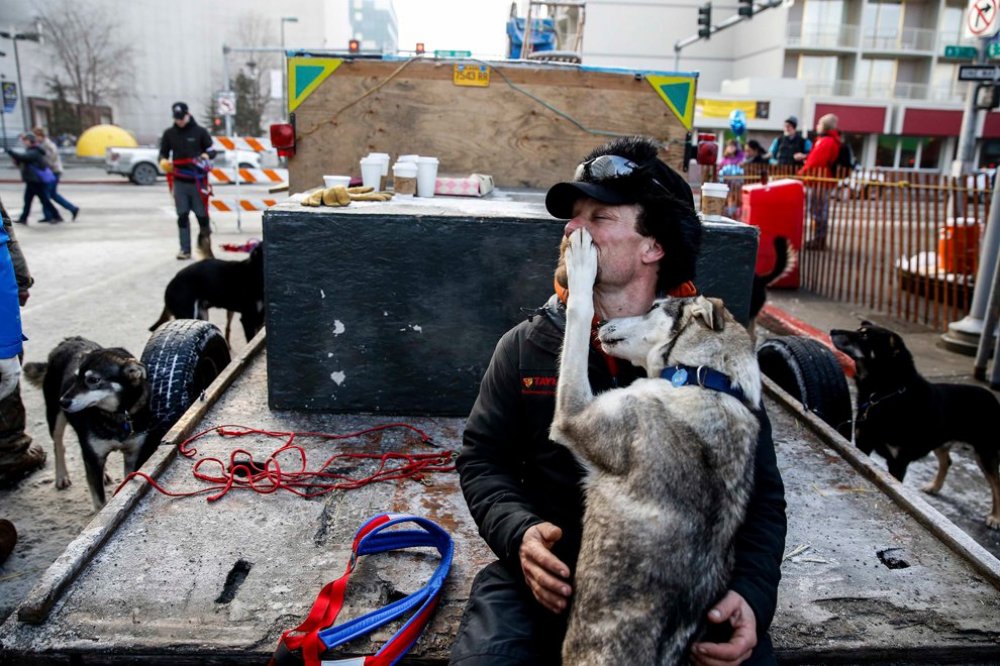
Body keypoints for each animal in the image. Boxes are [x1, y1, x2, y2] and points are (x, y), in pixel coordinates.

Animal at [23, 338, 154, 508]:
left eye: (93, 380)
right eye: (76, 377)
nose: (63, 402)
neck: (116, 414)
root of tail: (68, 340)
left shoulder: (133, 454)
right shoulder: (92, 459)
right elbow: (100, 502)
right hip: (54, 417)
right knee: (58, 446)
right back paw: (61, 476)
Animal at [828, 322, 1000, 528]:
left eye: (865, 337)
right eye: (859, 331)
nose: (832, 331)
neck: (885, 393)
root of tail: (993, 399)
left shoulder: (898, 461)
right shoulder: (863, 444)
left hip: (985, 452)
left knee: (996, 483)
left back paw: (995, 517)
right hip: (940, 441)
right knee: (947, 461)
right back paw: (934, 486)